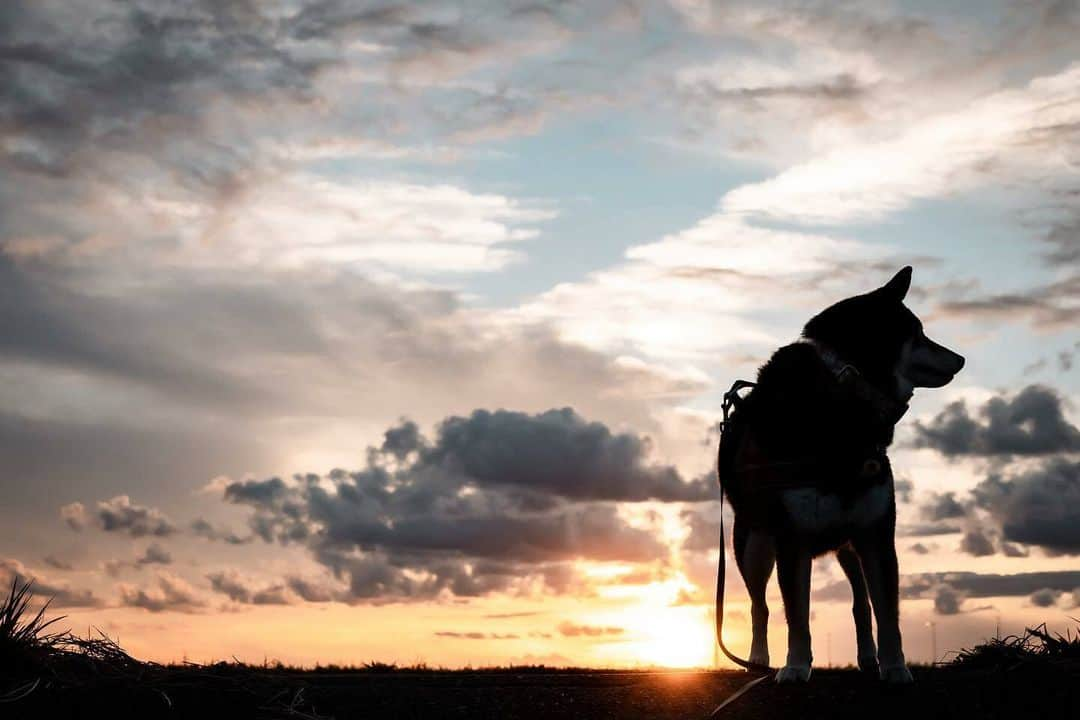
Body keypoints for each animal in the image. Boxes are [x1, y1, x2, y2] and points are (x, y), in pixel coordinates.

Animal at [721, 267, 967, 686]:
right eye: (918, 333)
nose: (961, 358)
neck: (845, 390)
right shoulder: (791, 539)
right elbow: (797, 615)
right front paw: (795, 666)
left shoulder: (876, 532)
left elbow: (887, 613)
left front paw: (896, 668)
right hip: (753, 544)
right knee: (759, 606)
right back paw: (758, 660)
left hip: (848, 543)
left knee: (860, 603)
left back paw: (868, 658)